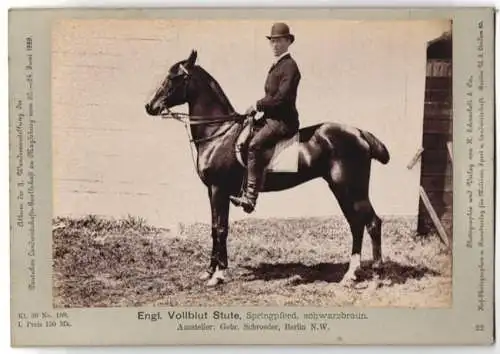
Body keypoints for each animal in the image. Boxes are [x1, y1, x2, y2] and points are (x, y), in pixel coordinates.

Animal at [145, 50, 390, 288]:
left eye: (174, 77)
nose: (149, 106)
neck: (219, 132)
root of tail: (359, 132)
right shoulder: (211, 191)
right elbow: (215, 228)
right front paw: (209, 271)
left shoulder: (218, 189)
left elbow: (221, 228)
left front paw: (219, 275)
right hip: (342, 190)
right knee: (356, 224)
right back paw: (351, 274)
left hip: (350, 189)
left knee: (372, 223)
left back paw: (377, 275)